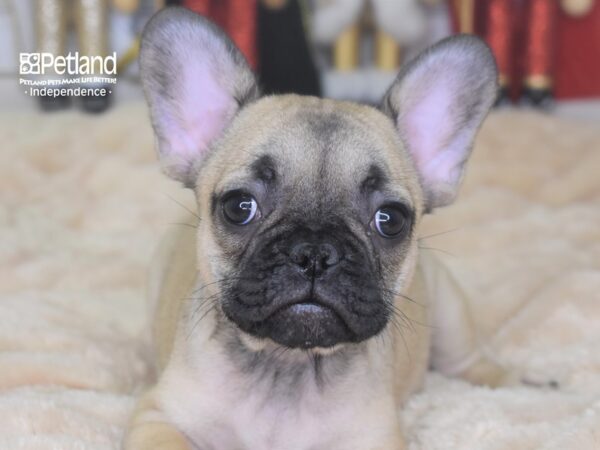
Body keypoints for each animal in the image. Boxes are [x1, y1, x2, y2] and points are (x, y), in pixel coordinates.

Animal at [125, 7, 502, 450]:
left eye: (390, 219)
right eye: (239, 207)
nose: (315, 253)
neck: (288, 363)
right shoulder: (159, 417)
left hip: (449, 309)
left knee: (469, 361)